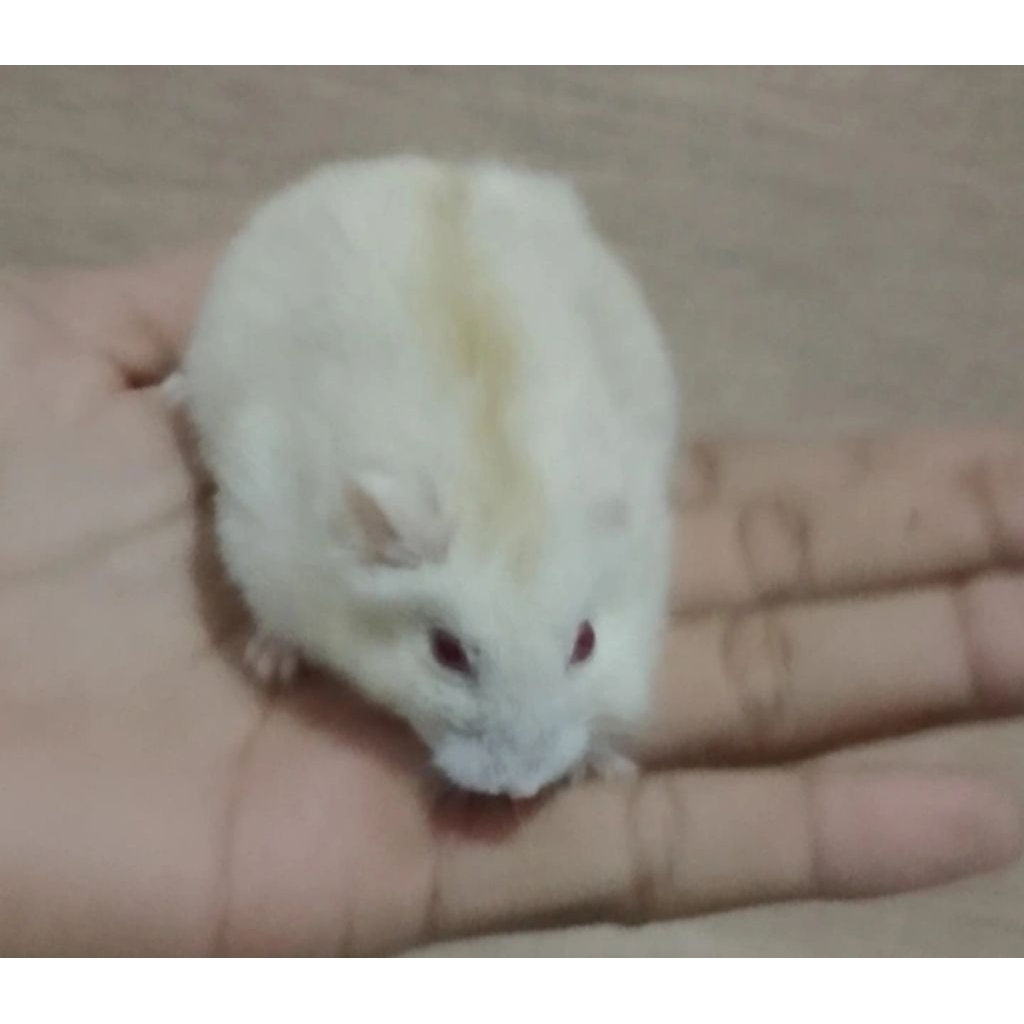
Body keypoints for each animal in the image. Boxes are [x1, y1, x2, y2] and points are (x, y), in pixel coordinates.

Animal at [180, 156, 679, 798]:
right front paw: (268, 665)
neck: (497, 497)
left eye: (586, 642)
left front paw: (609, 767)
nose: (521, 789)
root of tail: (429, 165)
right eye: (446, 652)